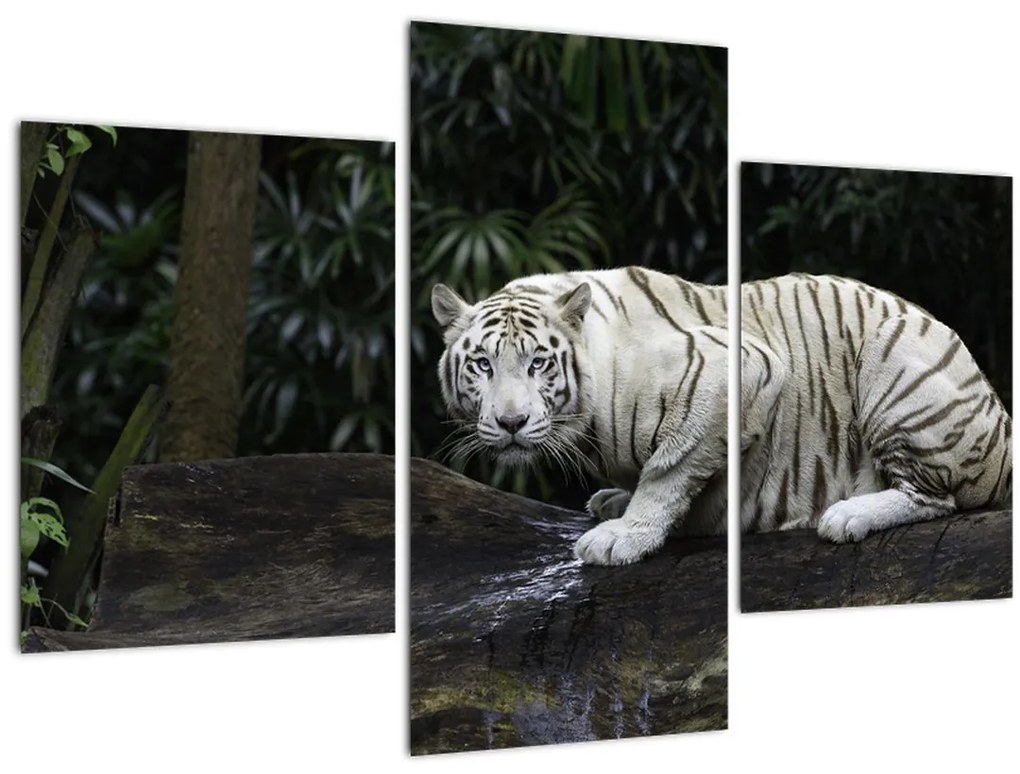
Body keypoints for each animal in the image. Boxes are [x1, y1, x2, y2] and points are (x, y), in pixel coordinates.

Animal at [431, 266, 731, 566]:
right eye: (483, 364)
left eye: (537, 363)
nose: (511, 422)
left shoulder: (716, 376)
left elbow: (668, 471)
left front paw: (623, 537)